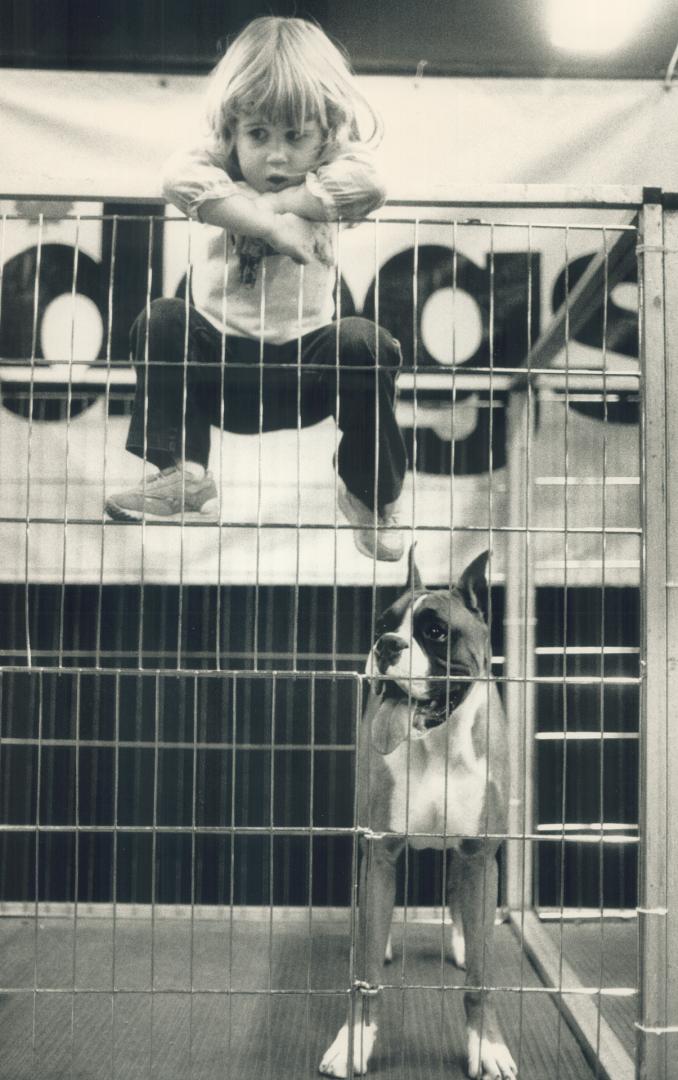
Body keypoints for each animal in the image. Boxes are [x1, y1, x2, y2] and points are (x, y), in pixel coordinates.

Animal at [319, 552, 516, 1075]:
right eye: (381, 625)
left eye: (436, 632)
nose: (386, 645)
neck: (438, 745)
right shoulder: (380, 852)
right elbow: (366, 974)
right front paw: (355, 1042)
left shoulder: (478, 855)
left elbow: (481, 978)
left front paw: (487, 1045)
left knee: (460, 894)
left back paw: (464, 940)